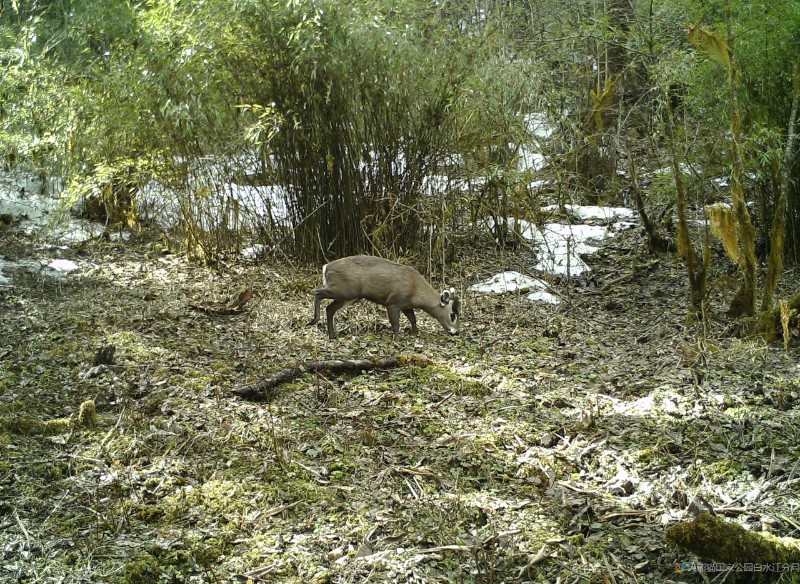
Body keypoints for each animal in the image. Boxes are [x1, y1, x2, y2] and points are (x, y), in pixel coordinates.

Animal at [310, 256, 462, 342]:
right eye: (452, 315)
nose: (456, 332)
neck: (415, 290)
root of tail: (326, 267)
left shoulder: (406, 305)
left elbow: (413, 319)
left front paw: (416, 332)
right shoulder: (393, 302)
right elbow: (395, 323)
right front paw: (397, 340)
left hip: (350, 297)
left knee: (329, 308)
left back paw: (331, 335)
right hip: (344, 290)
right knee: (318, 293)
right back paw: (313, 321)